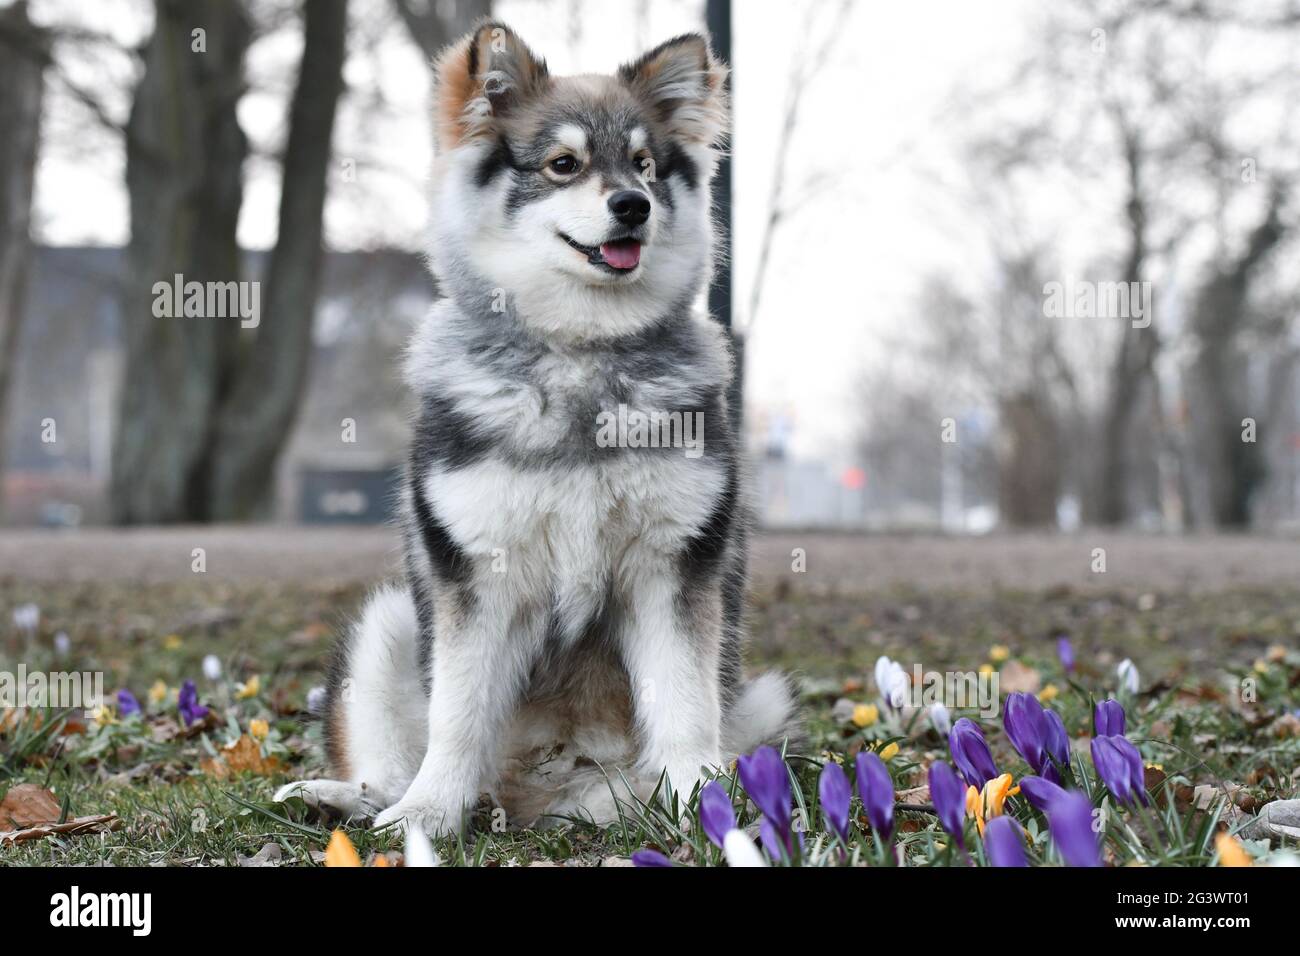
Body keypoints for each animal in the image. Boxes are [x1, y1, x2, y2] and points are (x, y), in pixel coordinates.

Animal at [276, 18, 790, 832]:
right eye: (563, 164)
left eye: (644, 164)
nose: (633, 205)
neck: (578, 351)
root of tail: (529, 800)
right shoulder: (476, 576)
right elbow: (458, 716)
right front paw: (427, 815)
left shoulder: (673, 569)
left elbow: (683, 703)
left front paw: (704, 796)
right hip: (386, 626)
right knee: (397, 758)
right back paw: (357, 798)